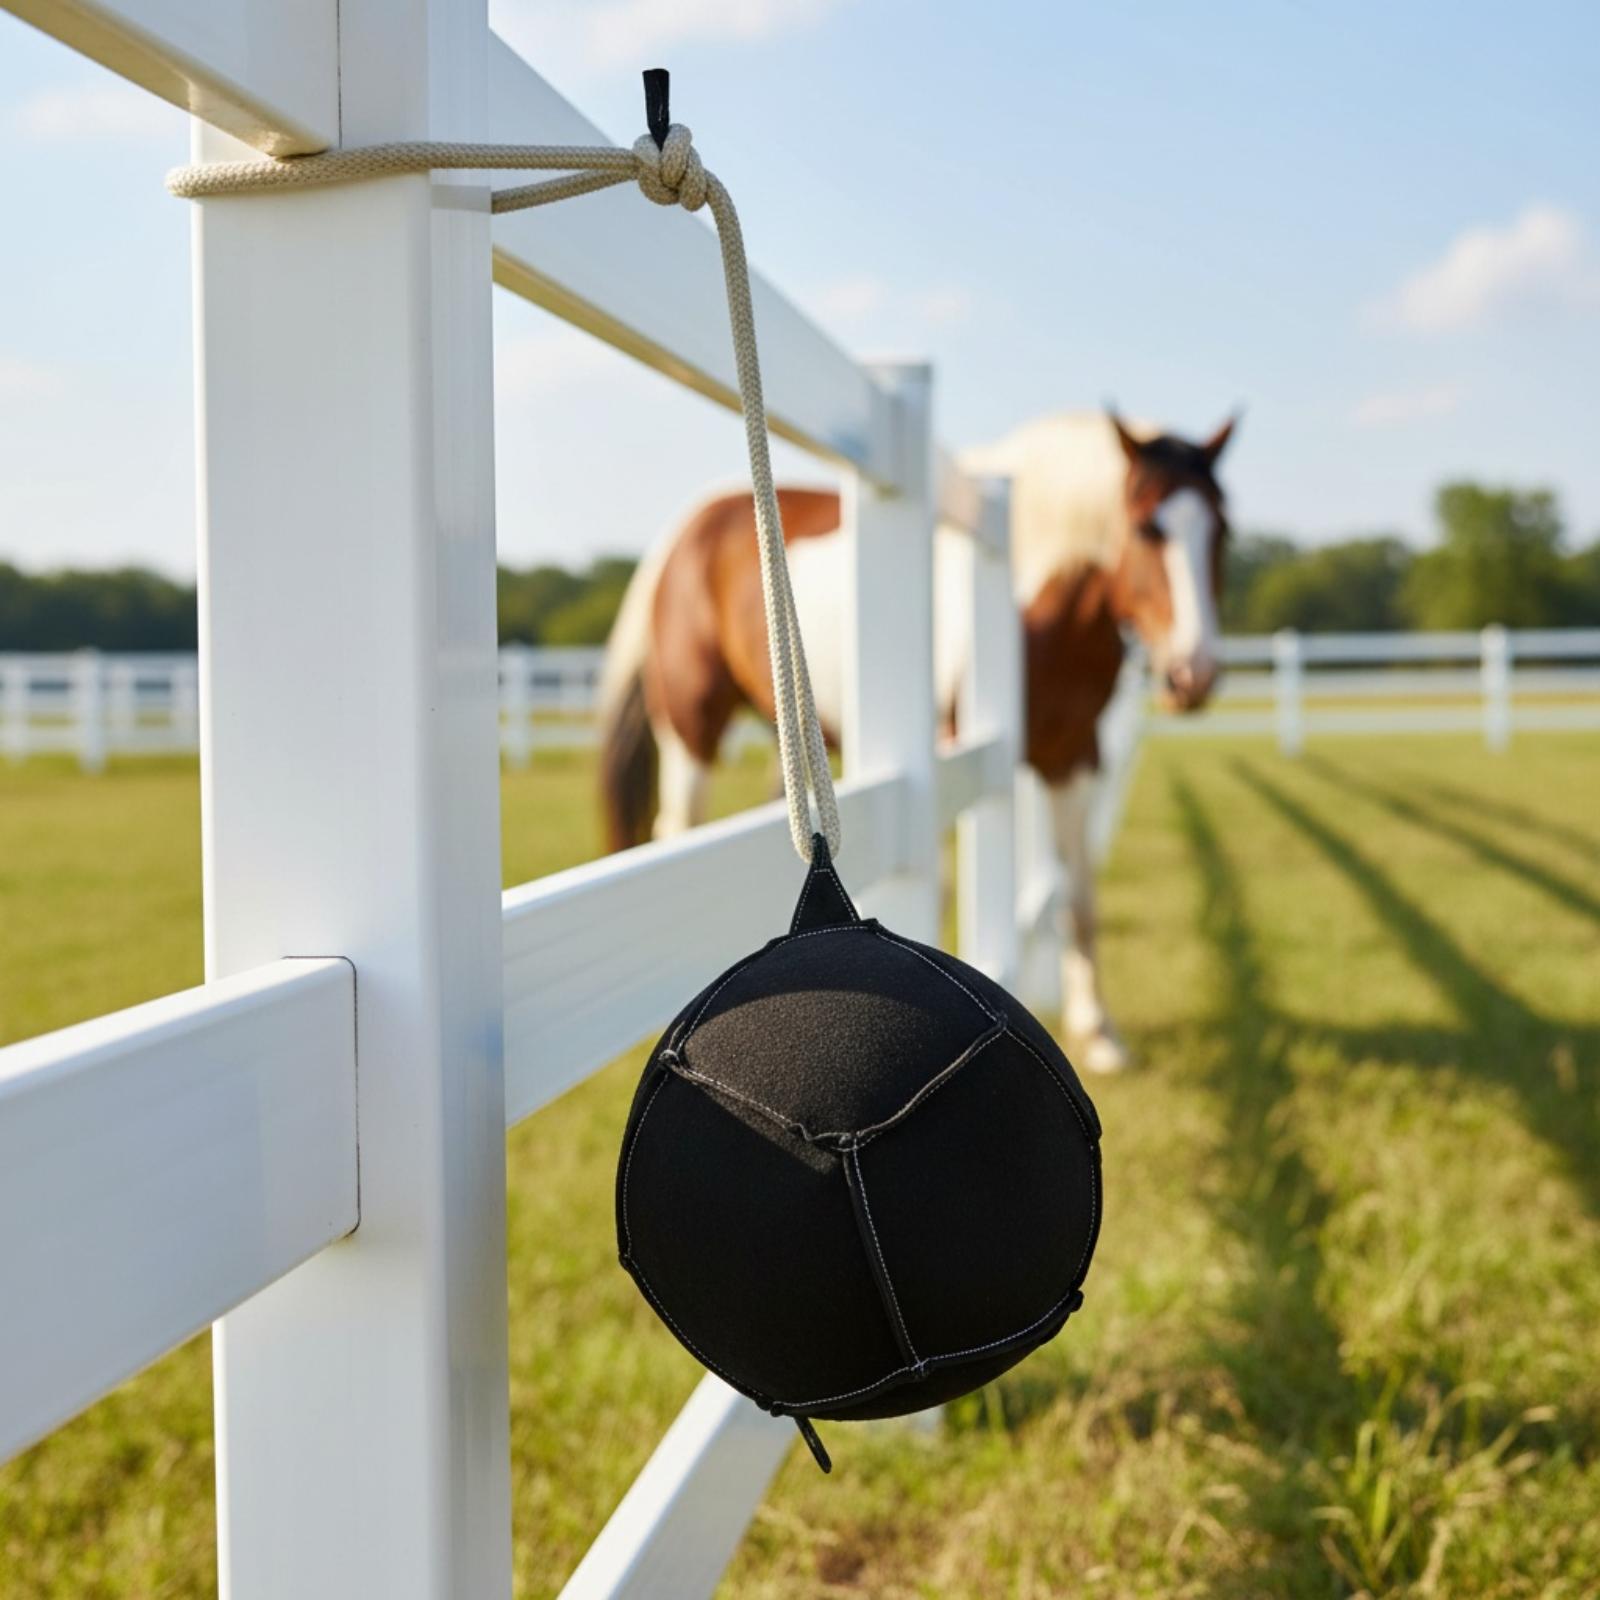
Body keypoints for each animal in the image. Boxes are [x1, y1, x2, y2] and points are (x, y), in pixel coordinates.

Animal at [597, 409, 1236, 1072]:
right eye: (1147, 527)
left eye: (1222, 530)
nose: (1192, 674)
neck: (1035, 597)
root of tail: (682, 532)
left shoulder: (1072, 755)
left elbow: (1078, 897)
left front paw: (1101, 1034)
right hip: (691, 727)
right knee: (678, 827)